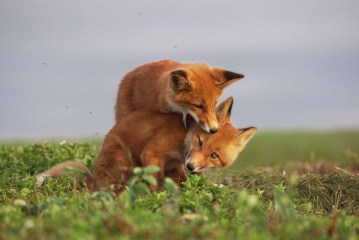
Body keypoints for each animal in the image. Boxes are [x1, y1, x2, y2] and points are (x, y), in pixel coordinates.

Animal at [35, 96, 256, 192]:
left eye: (214, 155)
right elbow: (154, 182)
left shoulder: (175, 166)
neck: (183, 139)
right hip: (124, 165)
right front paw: (154, 199)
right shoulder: (151, 153)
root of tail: (95, 180)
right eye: (200, 142)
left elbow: (177, 183)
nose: (192, 166)